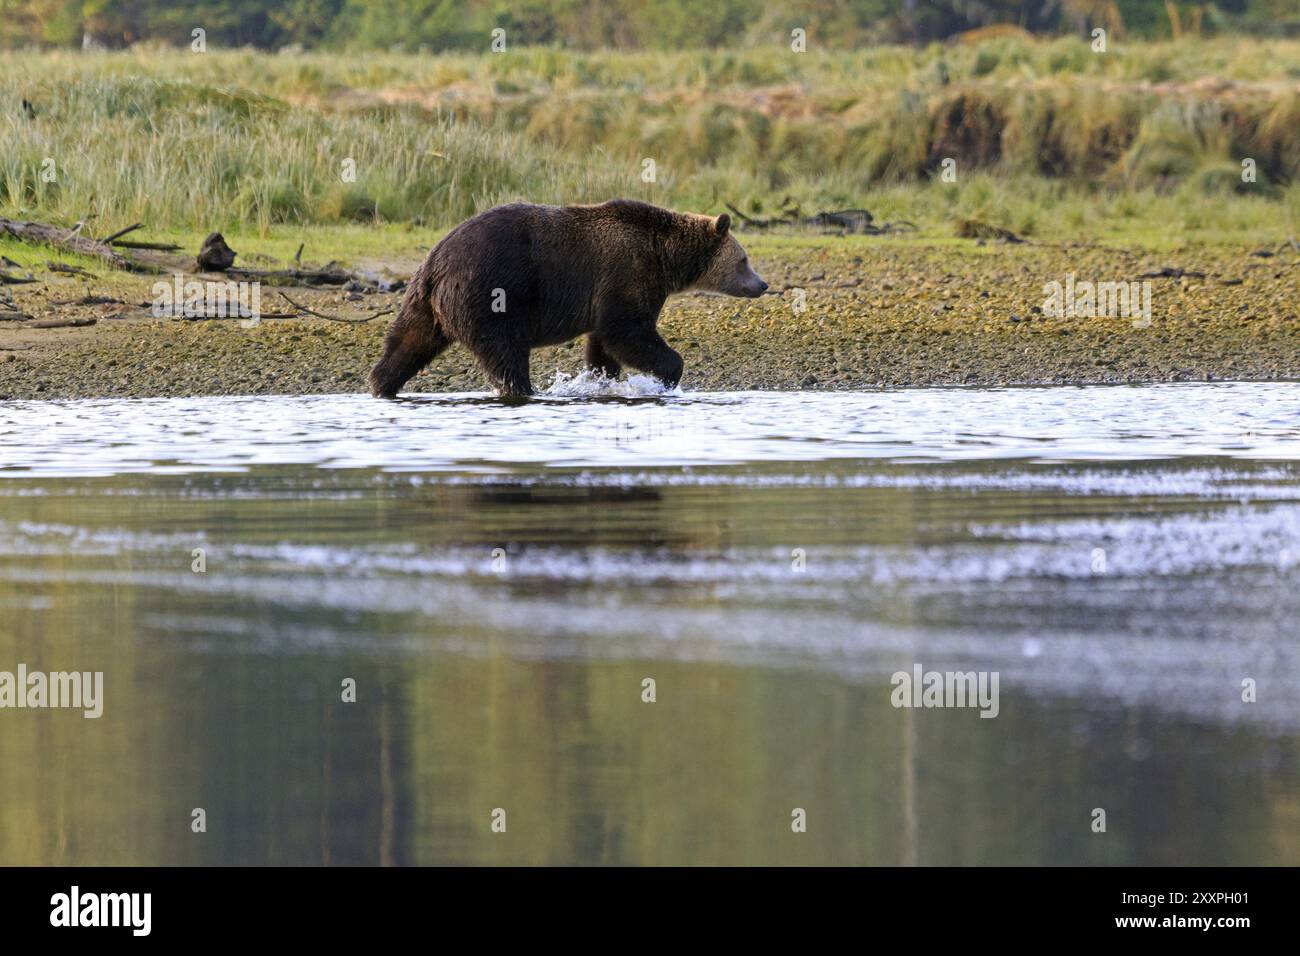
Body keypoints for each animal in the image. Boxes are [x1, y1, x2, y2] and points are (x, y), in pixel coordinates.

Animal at [368, 199, 768, 398]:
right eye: (744, 259)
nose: (762, 284)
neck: (665, 256)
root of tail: (438, 260)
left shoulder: (608, 294)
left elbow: (604, 344)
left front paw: (600, 379)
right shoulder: (627, 273)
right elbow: (629, 332)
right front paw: (669, 373)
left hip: (425, 301)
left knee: (409, 341)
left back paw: (381, 384)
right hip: (490, 294)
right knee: (504, 351)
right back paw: (521, 388)